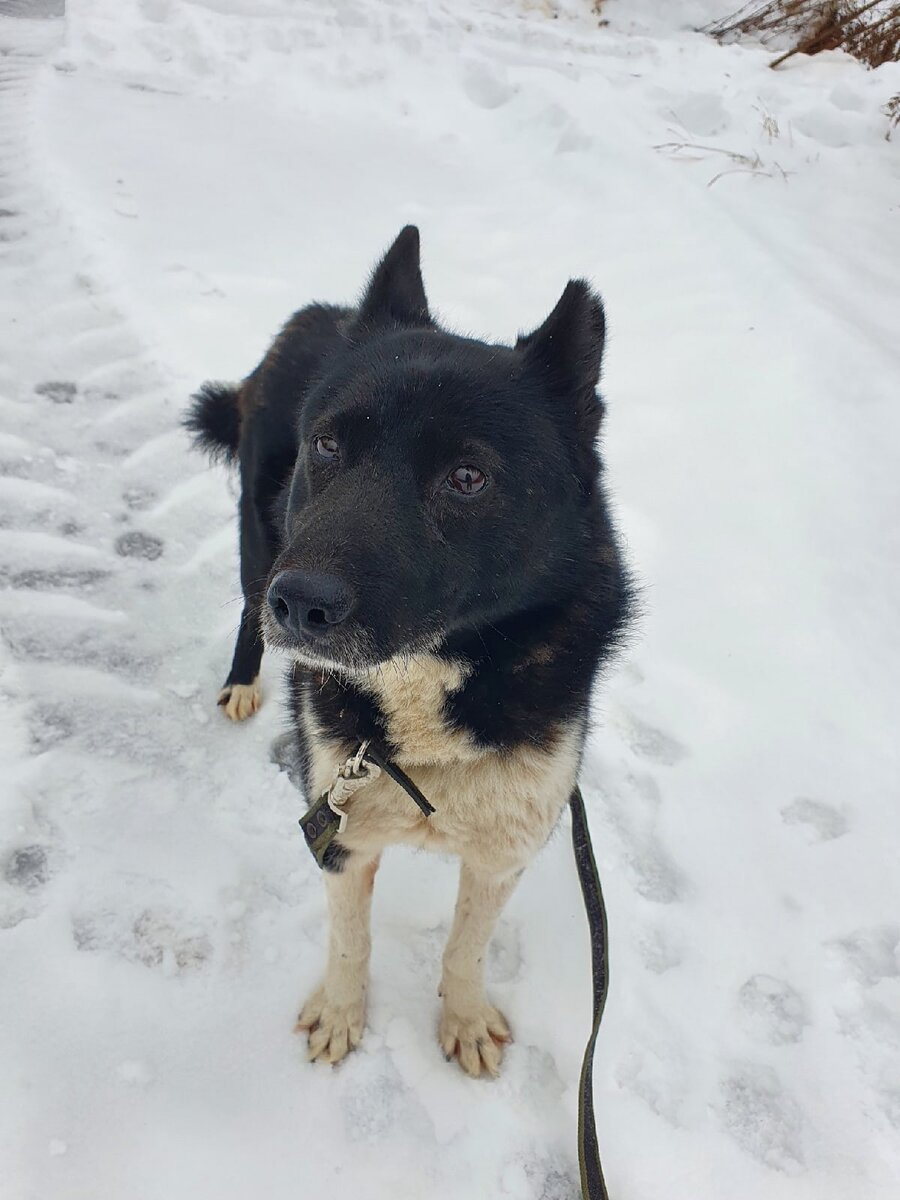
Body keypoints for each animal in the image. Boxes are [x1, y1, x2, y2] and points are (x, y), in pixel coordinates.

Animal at [187, 226, 628, 1080]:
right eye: (328, 443)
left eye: (468, 476)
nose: (302, 603)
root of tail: (321, 312)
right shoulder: (340, 833)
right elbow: (349, 942)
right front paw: (340, 1014)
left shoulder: (505, 849)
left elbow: (466, 947)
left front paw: (463, 1018)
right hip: (261, 537)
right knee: (246, 609)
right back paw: (243, 681)